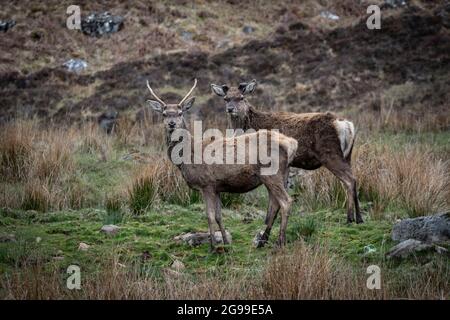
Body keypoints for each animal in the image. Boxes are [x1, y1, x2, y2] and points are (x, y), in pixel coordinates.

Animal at [146, 79, 298, 251]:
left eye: (180, 113)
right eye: (164, 114)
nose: (171, 124)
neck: (187, 157)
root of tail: (292, 143)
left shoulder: (206, 183)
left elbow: (209, 215)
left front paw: (213, 246)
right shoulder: (217, 187)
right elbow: (219, 216)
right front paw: (225, 243)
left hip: (271, 174)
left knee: (286, 202)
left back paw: (280, 242)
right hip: (281, 174)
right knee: (274, 205)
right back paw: (264, 241)